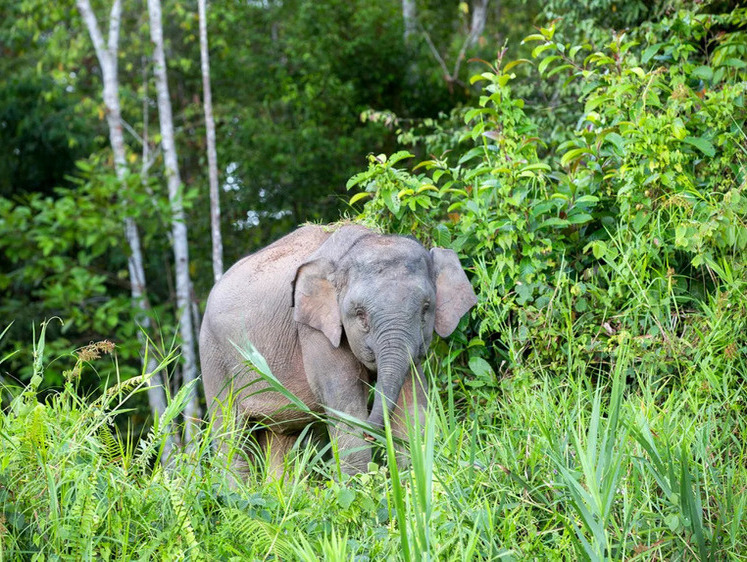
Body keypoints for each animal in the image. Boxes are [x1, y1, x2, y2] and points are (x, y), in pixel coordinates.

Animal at [200, 221, 480, 474]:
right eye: (360, 314)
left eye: (425, 308)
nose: (373, 434)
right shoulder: (314, 331)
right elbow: (346, 406)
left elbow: (413, 402)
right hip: (214, 360)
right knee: (231, 436)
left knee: (281, 443)